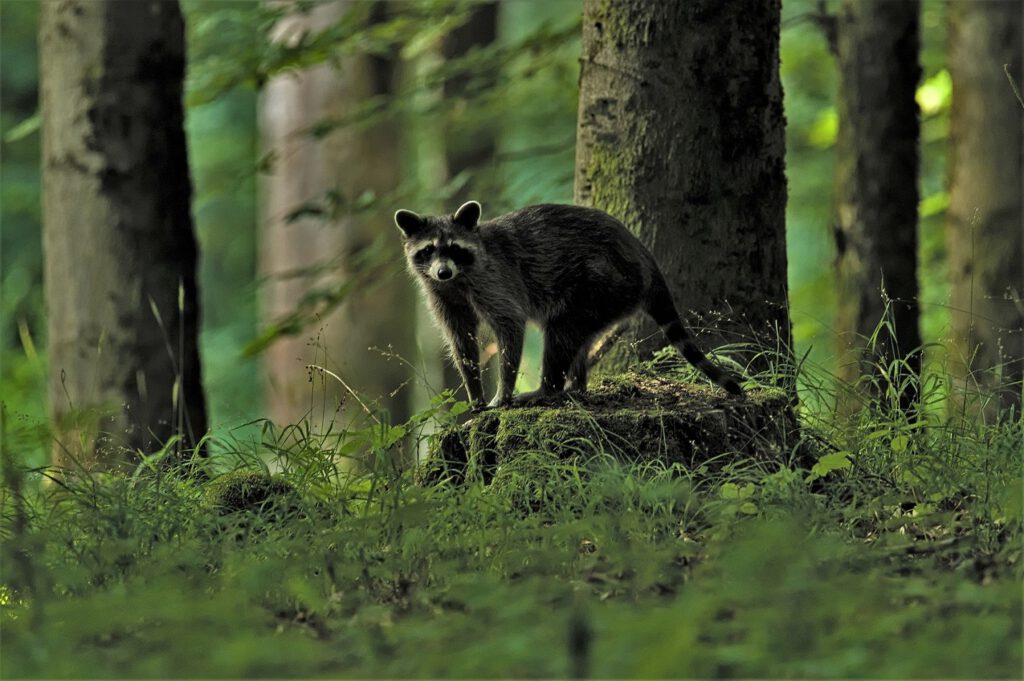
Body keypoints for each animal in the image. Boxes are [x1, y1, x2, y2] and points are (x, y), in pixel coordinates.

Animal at [393, 199, 745, 405]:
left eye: (454, 248)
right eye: (428, 250)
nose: (442, 271)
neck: (457, 279)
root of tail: (645, 256)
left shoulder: (494, 279)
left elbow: (510, 326)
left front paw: (502, 393)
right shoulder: (442, 296)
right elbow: (461, 340)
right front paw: (474, 393)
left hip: (604, 280)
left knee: (561, 333)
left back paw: (549, 388)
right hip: (608, 295)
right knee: (578, 336)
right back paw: (577, 385)